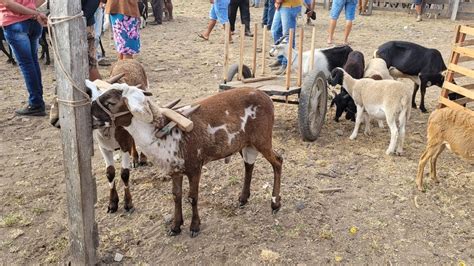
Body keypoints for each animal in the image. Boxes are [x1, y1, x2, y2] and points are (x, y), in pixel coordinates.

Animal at [91, 86, 284, 238]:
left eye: (111, 103)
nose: (89, 116)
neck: (162, 133)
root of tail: (266, 96)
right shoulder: (175, 170)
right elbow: (176, 196)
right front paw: (176, 227)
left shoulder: (194, 167)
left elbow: (192, 197)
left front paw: (194, 227)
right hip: (248, 143)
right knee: (249, 164)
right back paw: (243, 199)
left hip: (262, 138)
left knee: (278, 162)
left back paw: (275, 203)